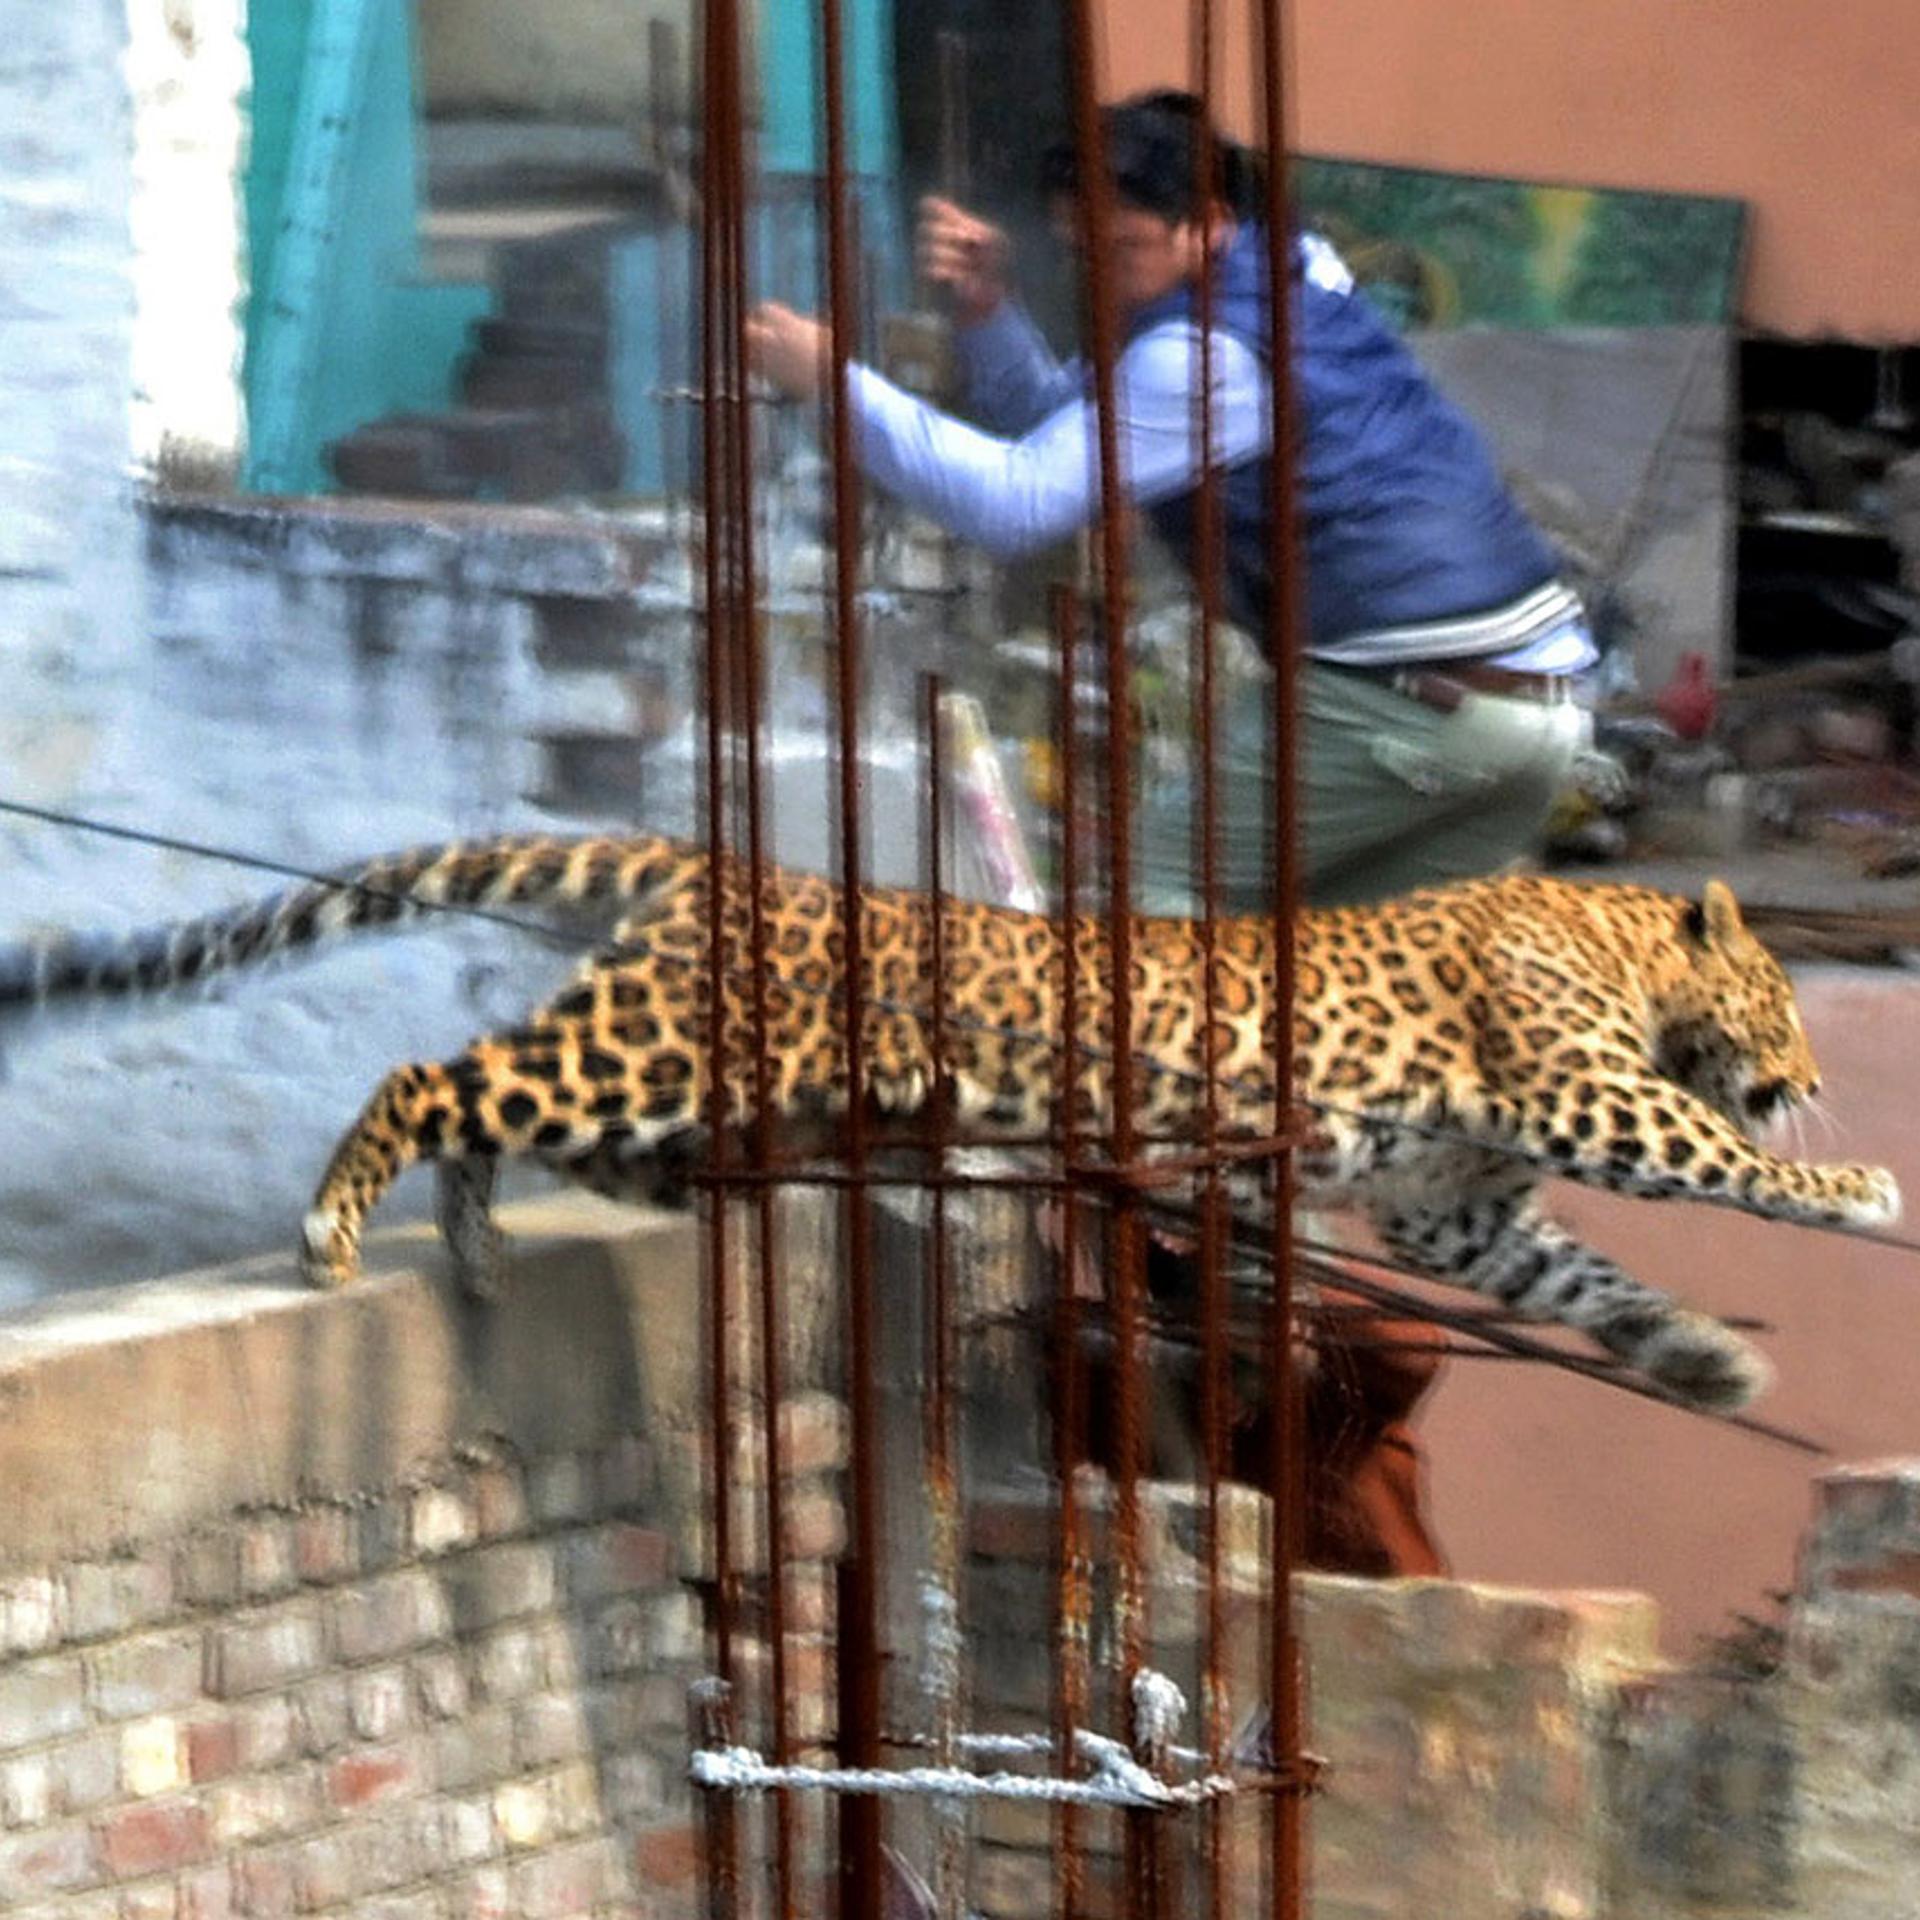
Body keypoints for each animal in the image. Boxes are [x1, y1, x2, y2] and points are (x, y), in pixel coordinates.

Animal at [0, 832, 1899, 1414]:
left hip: (669, 1088)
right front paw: (1862, 1182)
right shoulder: (1586, 1089)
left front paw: (1699, 1361)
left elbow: (1589, 1280)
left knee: (495, 1098)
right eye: (1790, 1007)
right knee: (433, 1075)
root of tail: (710, 864)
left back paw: (466, 1240)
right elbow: (1727, 1165)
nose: (1819, 1070)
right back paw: (337, 1226)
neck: (1615, 933)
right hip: (668, 1052)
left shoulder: (1459, 1207)